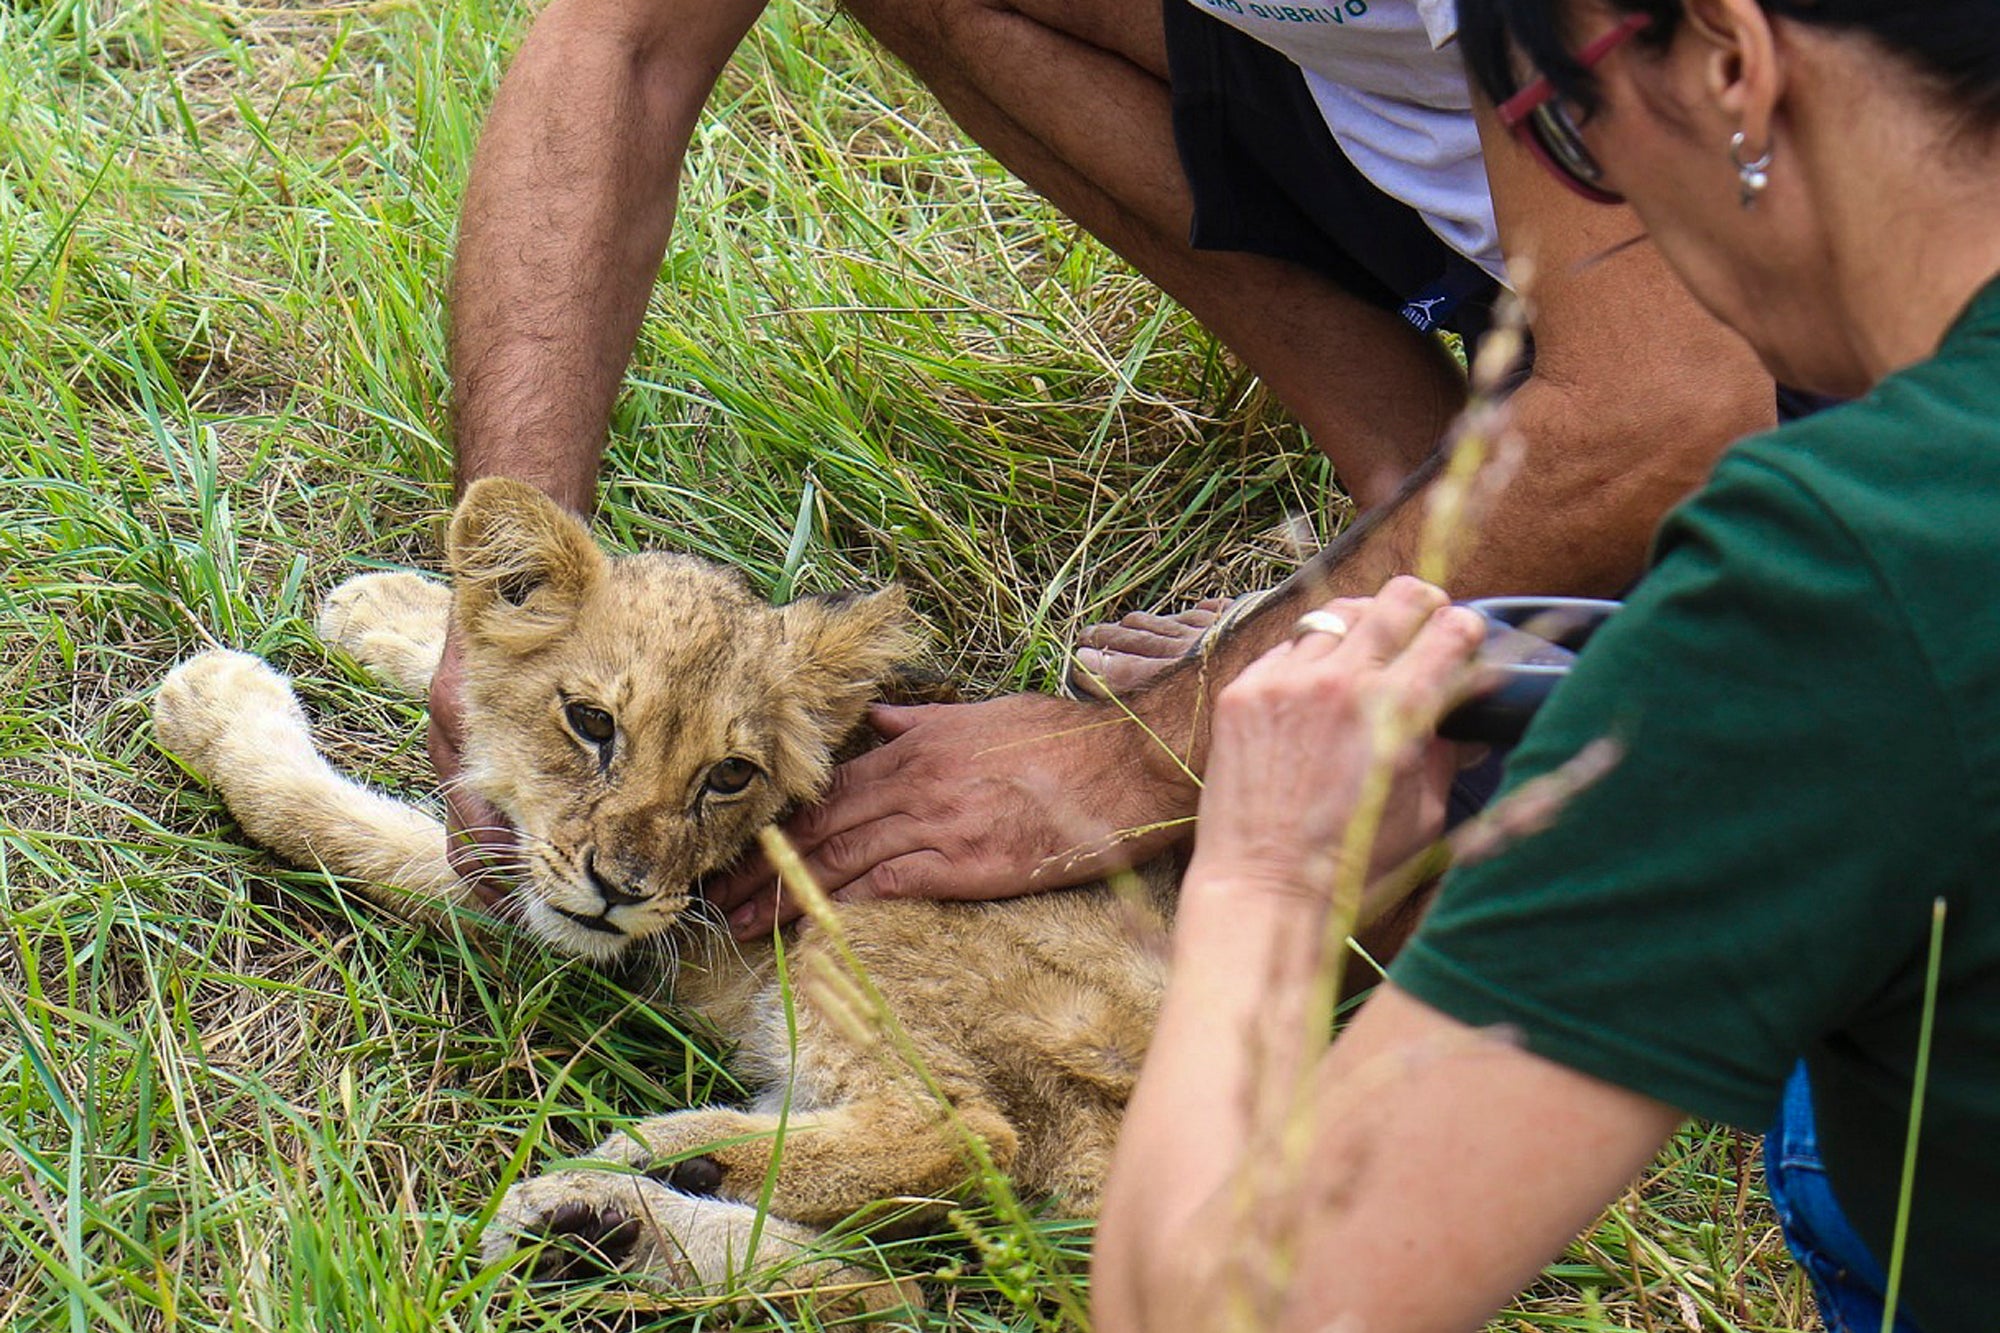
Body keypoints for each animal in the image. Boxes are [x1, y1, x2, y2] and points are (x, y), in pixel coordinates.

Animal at [154, 478, 1175, 1317]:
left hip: (874, 913)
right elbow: (477, 649)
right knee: (892, 1288)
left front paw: (216, 709)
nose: (619, 889)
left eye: (729, 774)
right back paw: (589, 1230)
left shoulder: (562, 896)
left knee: (960, 1136)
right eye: (590, 721)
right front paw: (387, 606)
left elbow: (334, 824)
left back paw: (635, 1169)